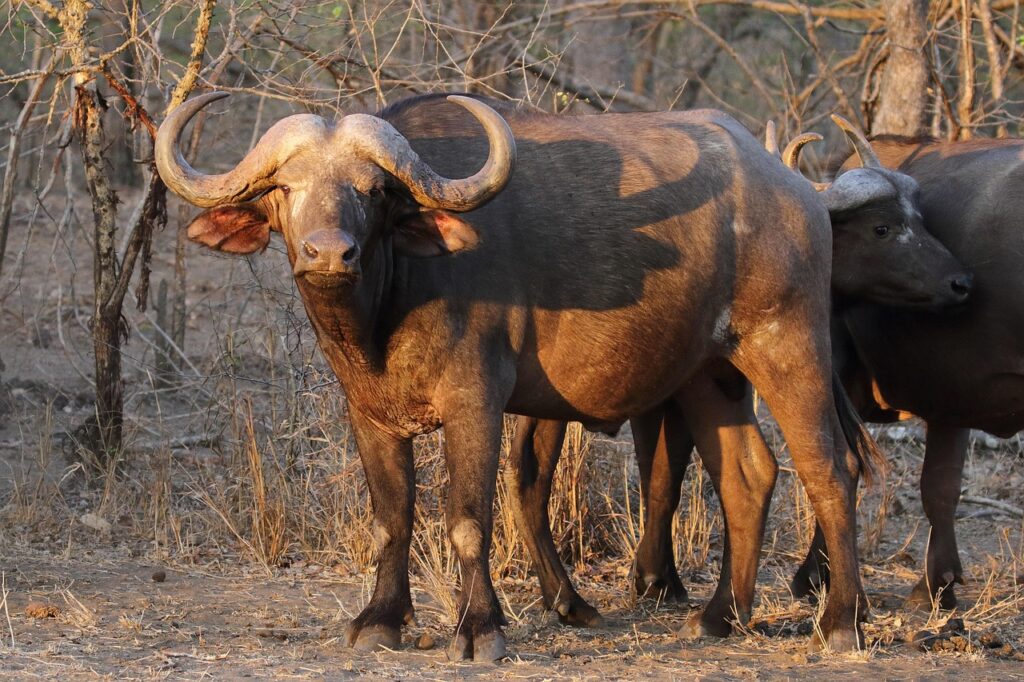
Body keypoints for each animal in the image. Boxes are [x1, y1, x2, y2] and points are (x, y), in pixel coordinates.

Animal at [158, 92, 877, 658]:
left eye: (374, 191)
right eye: (286, 187)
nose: (329, 253)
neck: (388, 307)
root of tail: (798, 192)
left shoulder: (475, 401)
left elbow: (468, 517)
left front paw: (479, 629)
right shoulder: (368, 413)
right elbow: (392, 516)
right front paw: (381, 619)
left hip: (788, 346)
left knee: (830, 469)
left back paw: (840, 623)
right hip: (708, 375)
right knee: (747, 476)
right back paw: (721, 616)